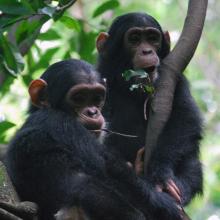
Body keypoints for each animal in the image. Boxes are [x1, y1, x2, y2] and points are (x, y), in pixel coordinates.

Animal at [5, 58, 182, 220]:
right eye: (78, 97)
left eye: (97, 97)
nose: (93, 112)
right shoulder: (62, 125)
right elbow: (114, 171)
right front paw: (167, 205)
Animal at [96, 12, 203, 207]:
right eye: (134, 39)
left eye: (153, 38)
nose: (147, 51)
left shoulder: (176, 79)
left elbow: (185, 116)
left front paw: (161, 172)